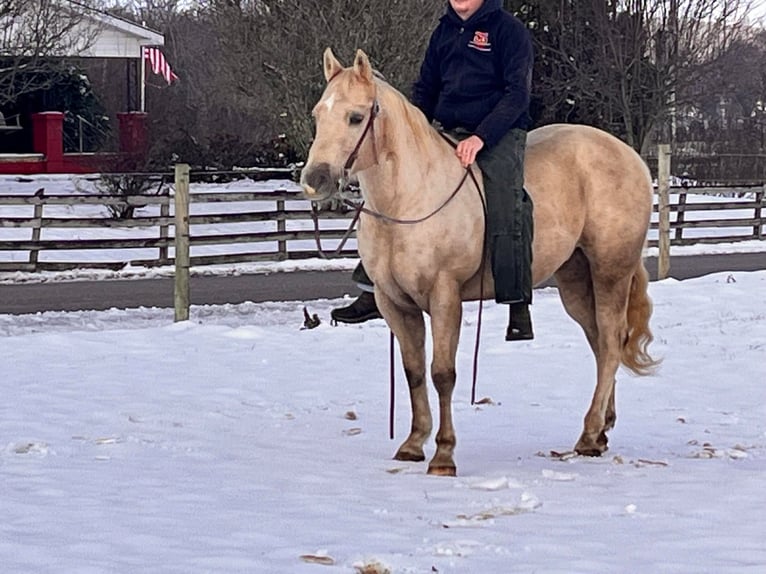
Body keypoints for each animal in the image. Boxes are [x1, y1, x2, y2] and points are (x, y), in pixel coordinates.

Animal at [300, 49, 660, 480]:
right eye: (318, 115)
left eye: (355, 117)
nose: (314, 180)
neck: (411, 196)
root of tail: (629, 156)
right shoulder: (395, 304)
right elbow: (414, 372)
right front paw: (413, 444)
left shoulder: (445, 298)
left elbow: (442, 373)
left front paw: (443, 455)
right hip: (575, 280)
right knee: (601, 343)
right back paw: (602, 428)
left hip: (610, 271)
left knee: (609, 342)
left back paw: (589, 434)